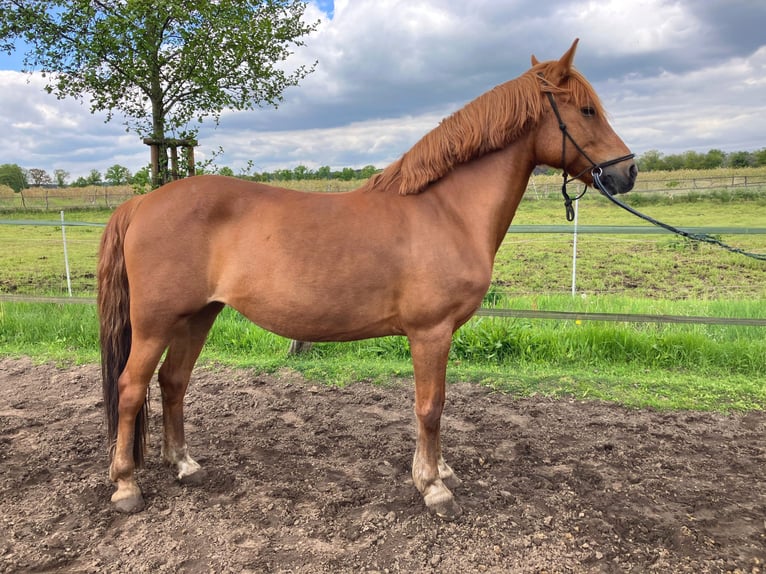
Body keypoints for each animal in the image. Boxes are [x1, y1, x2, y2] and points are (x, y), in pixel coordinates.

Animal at [98, 39, 637, 519]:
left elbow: (434, 405)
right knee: (131, 387)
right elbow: (431, 406)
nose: (628, 172)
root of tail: (141, 202)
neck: (446, 211)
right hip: (155, 322)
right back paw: (125, 486)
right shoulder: (431, 332)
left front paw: (437, 471)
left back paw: (184, 465)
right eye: (587, 110)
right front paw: (433, 487)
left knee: (173, 382)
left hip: (199, 315)